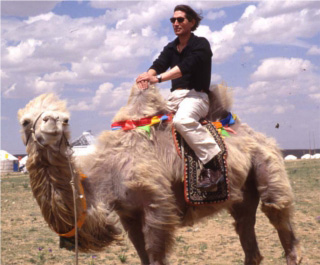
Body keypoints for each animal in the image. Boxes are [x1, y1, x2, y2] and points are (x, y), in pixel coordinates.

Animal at [18, 83, 302, 262]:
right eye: (24, 121)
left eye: (66, 119)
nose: (52, 122)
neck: (106, 174)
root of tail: (257, 135)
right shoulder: (128, 213)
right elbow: (142, 254)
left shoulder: (157, 206)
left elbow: (155, 254)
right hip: (242, 193)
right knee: (246, 232)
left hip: (267, 166)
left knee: (278, 212)